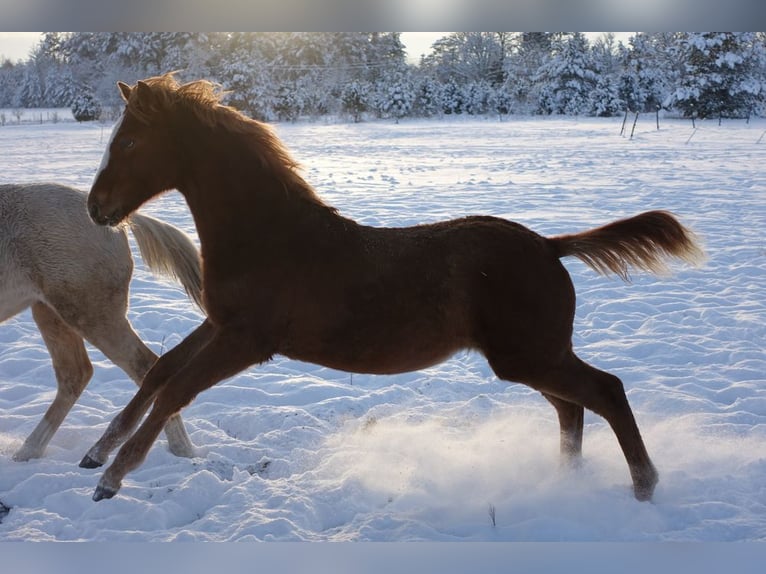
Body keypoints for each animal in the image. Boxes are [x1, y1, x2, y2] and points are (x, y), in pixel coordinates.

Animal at [0, 184, 204, 464]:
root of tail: (118, 223)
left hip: (90, 313)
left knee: (145, 366)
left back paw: (179, 448)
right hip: (50, 312)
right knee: (75, 374)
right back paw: (28, 452)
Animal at [82, 73, 704, 504]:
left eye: (131, 142)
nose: (95, 208)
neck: (268, 235)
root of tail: (550, 246)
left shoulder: (248, 341)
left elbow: (175, 389)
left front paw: (112, 479)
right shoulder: (220, 324)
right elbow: (161, 371)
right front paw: (95, 453)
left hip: (529, 355)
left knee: (606, 392)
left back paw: (644, 486)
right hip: (532, 357)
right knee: (571, 406)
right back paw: (566, 480)